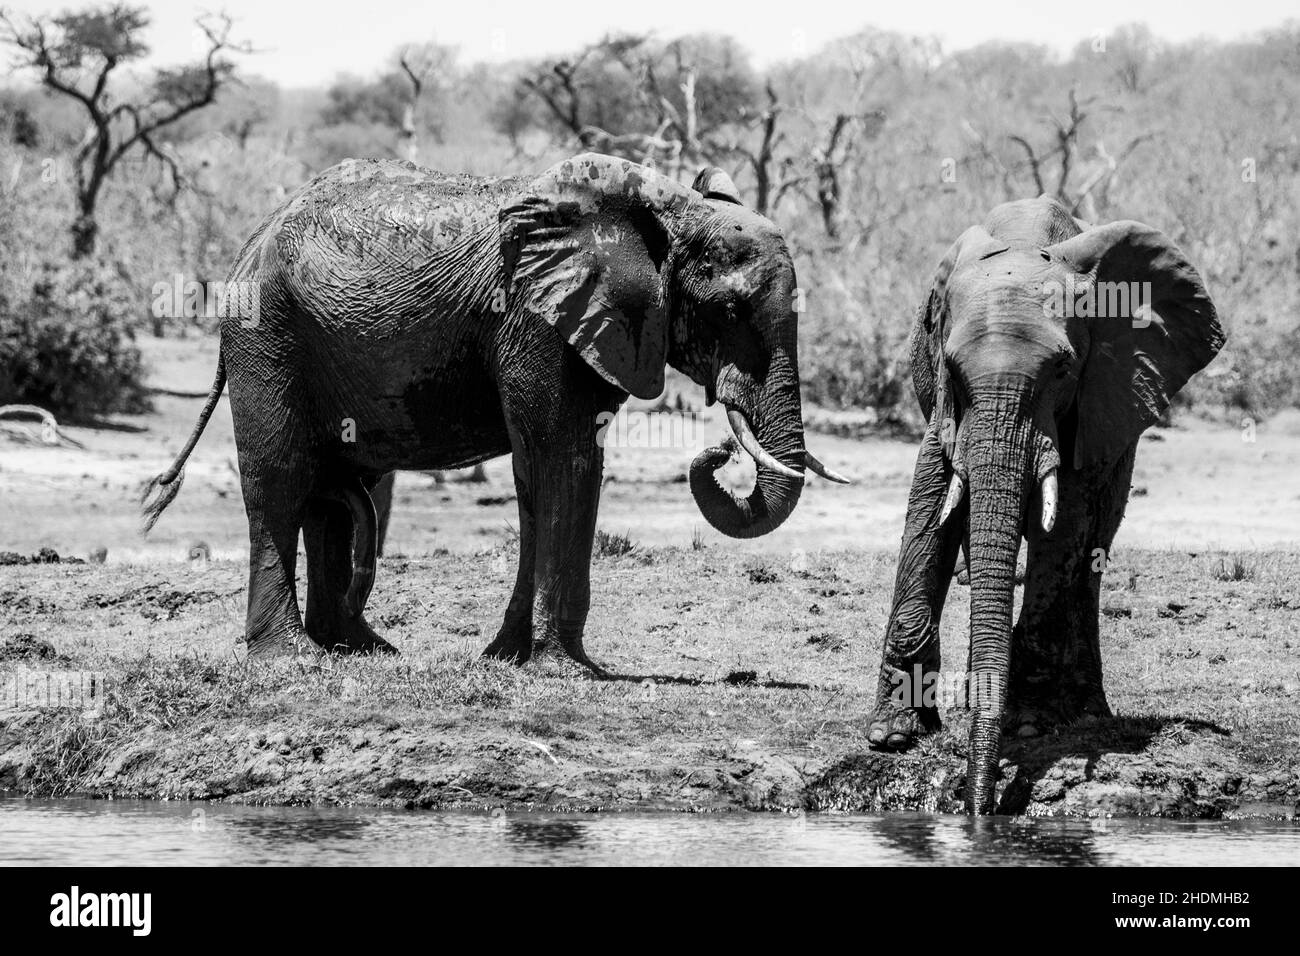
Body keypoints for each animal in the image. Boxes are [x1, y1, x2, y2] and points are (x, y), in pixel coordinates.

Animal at [141, 152, 846, 671]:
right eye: (727, 310)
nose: (720, 449)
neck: (665, 209)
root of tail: (250, 240)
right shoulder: (535, 320)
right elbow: (563, 458)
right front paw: (565, 670)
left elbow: (545, 475)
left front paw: (509, 658)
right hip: (267, 332)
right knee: (283, 480)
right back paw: (290, 659)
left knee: (337, 489)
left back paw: (360, 650)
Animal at [865, 195, 1224, 813]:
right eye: (953, 368)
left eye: (1061, 368)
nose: (979, 809)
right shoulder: (944, 408)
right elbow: (931, 499)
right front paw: (891, 735)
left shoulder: (1093, 394)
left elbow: (1068, 521)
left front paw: (1030, 725)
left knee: (1093, 545)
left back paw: (1080, 712)